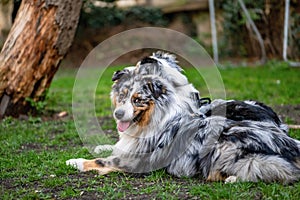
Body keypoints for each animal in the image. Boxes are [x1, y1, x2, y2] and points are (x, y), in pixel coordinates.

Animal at [67, 52, 300, 184]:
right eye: (122, 96)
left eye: (138, 99)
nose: (118, 114)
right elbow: (111, 148)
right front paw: (99, 146)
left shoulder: (136, 160)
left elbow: (103, 160)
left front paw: (74, 161)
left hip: (227, 149)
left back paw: (232, 178)